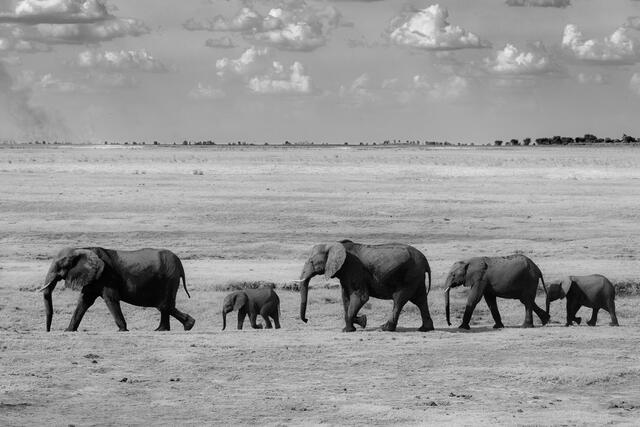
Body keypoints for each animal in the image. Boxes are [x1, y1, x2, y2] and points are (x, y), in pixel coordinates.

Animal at [39, 247, 195, 332]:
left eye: (62, 265)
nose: (48, 331)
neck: (83, 249)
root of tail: (180, 264)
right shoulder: (94, 276)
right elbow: (84, 301)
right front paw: (69, 330)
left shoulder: (107, 275)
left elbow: (110, 299)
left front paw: (122, 330)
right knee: (164, 306)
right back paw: (164, 329)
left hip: (170, 278)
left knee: (164, 305)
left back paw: (186, 325)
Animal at [297, 240, 433, 332]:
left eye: (311, 262)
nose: (307, 320)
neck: (335, 245)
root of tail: (425, 260)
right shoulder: (345, 275)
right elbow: (346, 299)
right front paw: (361, 322)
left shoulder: (354, 268)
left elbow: (361, 297)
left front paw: (349, 329)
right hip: (416, 277)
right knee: (421, 300)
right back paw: (425, 329)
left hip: (409, 276)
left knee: (399, 300)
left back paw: (385, 328)